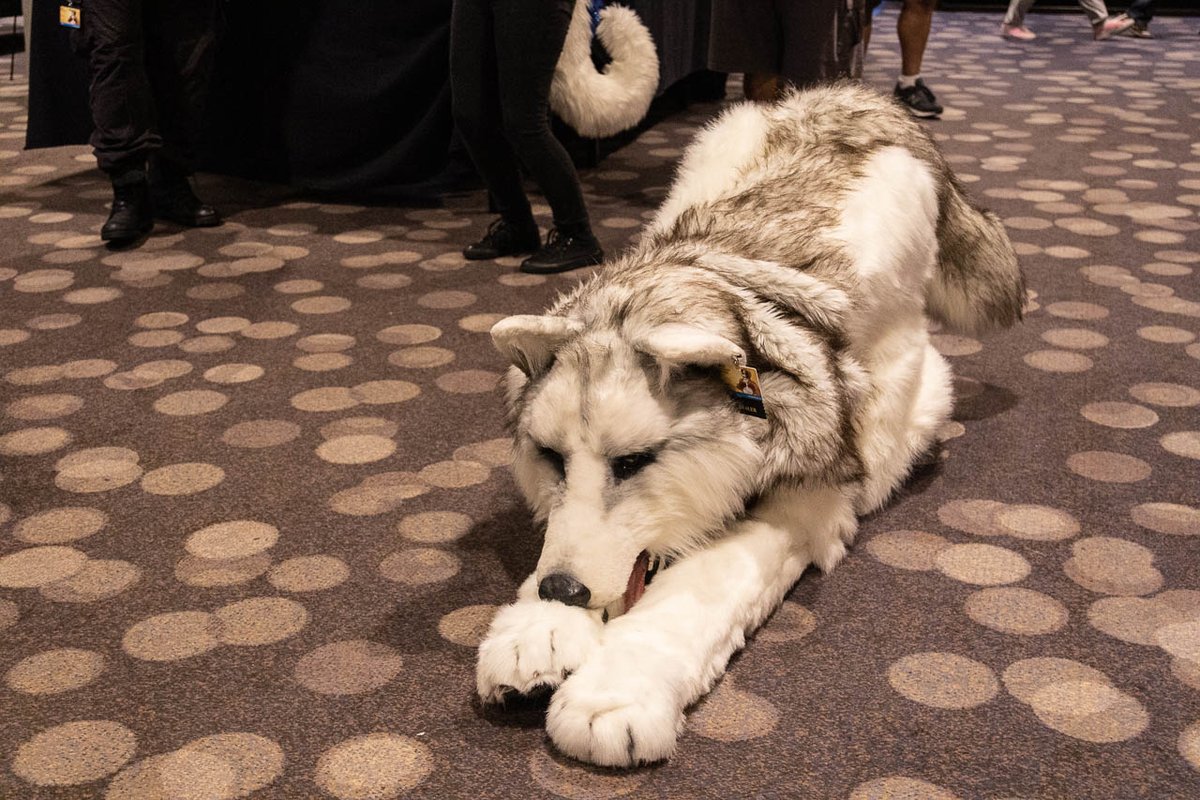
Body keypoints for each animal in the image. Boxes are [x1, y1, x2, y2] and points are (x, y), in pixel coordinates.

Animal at [476, 82, 1024, 767]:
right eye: (550, 457)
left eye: (633, 463)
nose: (562, 592)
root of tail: (859, 97)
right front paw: (537, 628)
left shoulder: (804, 507)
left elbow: (698, 587)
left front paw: (615, 691)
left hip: (914, 385)